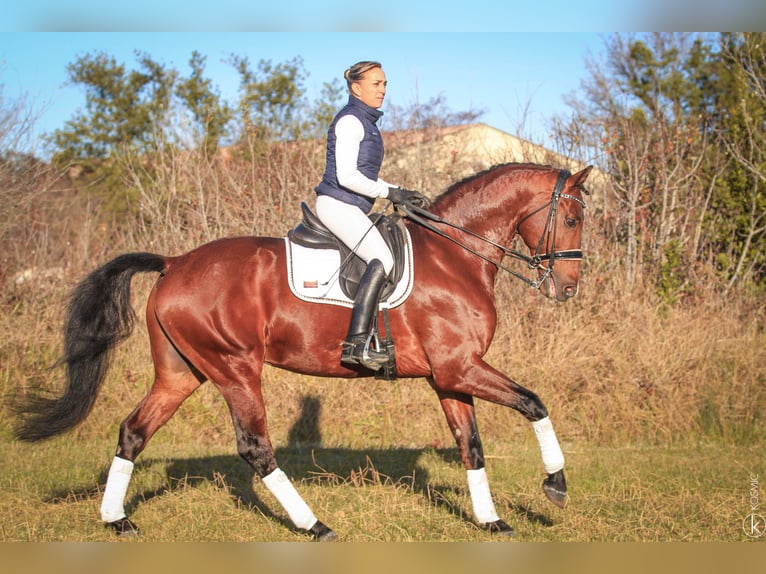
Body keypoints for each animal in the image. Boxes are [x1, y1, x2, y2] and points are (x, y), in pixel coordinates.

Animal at [15, 163, 596, 544]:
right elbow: (534, 402)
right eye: (572, 220)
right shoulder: (462, 367)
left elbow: (471, 447)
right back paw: (315, 525)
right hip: (235, 368)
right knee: (255, 448)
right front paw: (556, 485)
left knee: (134, 431)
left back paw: (117, 520)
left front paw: (491, 521)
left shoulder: (449, 376)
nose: (567, 288)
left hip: (182, 373)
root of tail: (175, 263)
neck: (455, 257)